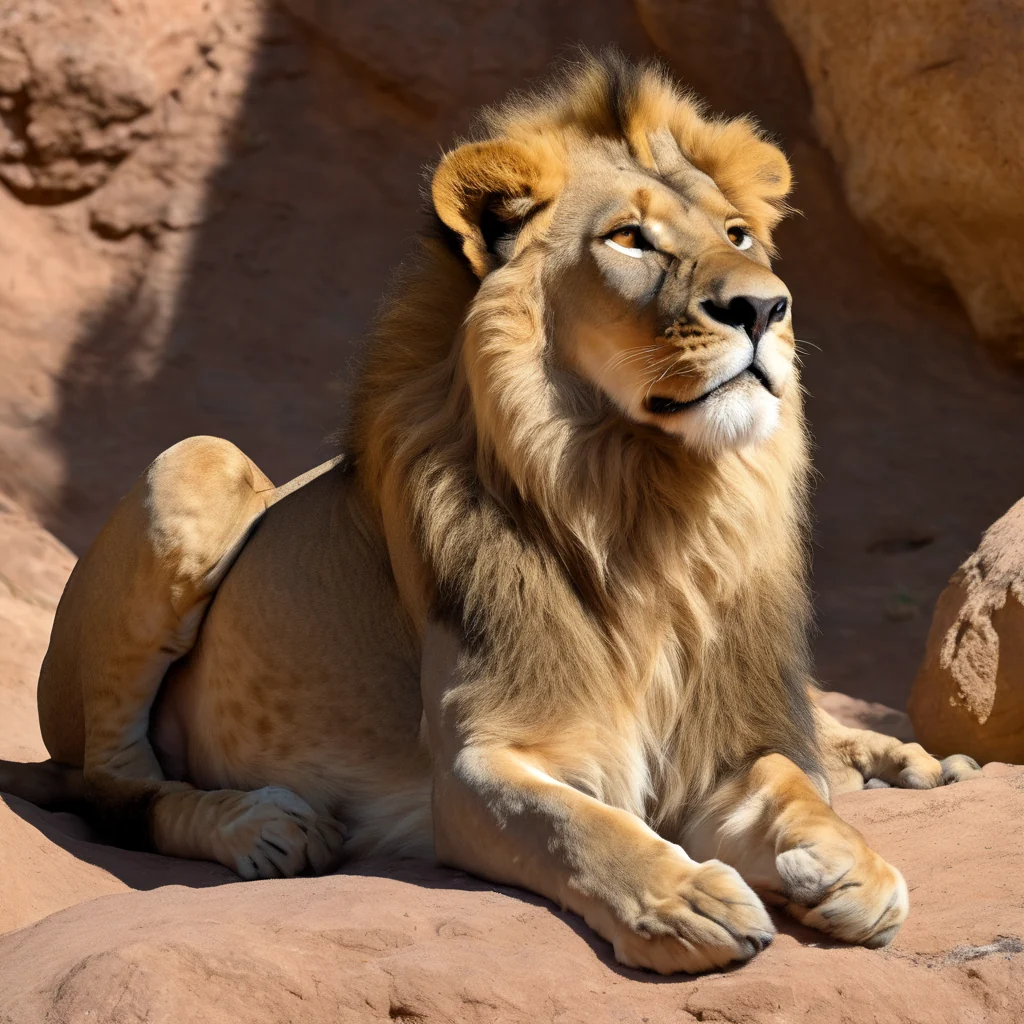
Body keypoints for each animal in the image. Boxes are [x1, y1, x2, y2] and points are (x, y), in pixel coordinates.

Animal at [0, 54, 981, 975]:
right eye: (630, 239)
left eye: (739, 235)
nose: (765, 307)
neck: (650, 503)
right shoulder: (478, 768)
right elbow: (583, 828)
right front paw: (681, 901)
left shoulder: (727, 743)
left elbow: (790, 781)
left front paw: (856, 864)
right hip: (199, 463)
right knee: (113, 787)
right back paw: (262, 827)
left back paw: (912, 763)